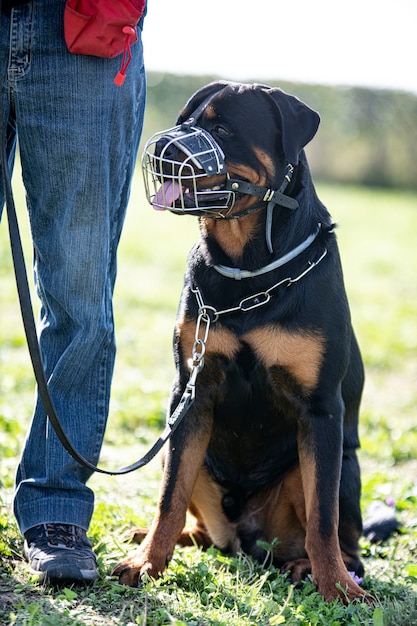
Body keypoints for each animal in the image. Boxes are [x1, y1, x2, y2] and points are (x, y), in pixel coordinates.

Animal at [114, 80, 370, 604]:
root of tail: (245, 538)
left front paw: (336, 588)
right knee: (194, 519)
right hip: (179, 450)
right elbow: (169, 497)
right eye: (185, 121)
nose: (163, 147)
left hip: (345, 466)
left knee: (343, 536)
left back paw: (311, 567)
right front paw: (147, 562)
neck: (250, 270)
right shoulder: (191, 393)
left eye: (223, 129)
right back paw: (161, 538)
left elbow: (323, 517)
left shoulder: (321, 411)